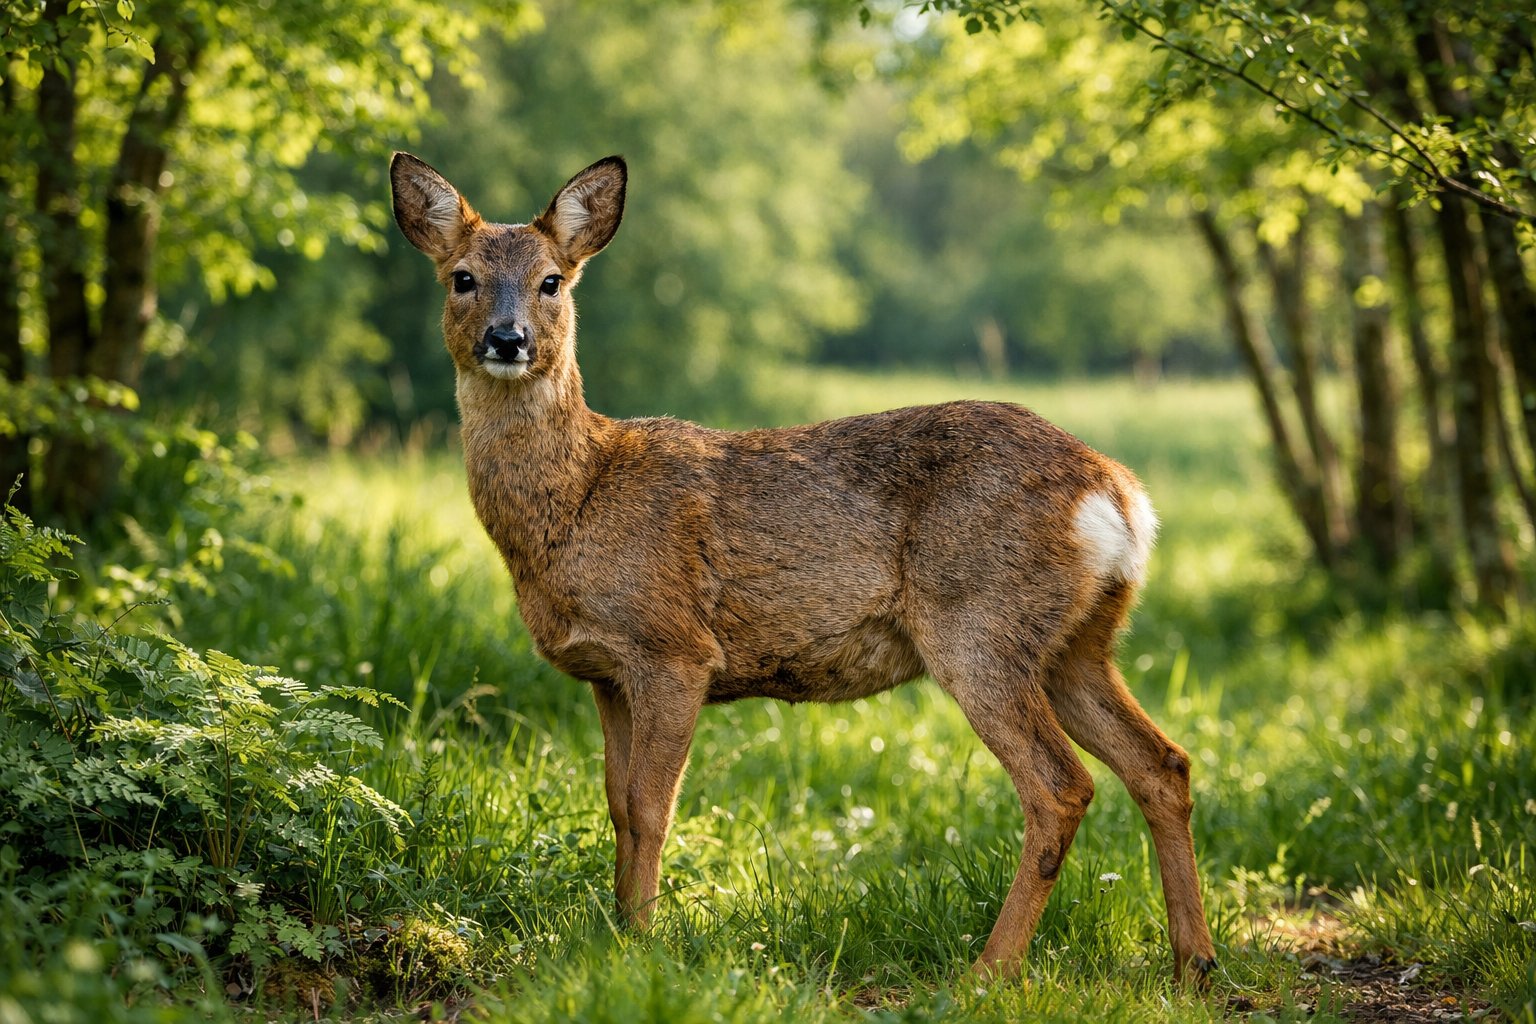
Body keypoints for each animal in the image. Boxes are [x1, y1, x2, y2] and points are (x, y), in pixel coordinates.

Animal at [389, 152, 1219, 985]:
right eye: (461, 277)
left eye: (553, 280)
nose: (508, 338)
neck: (577, 502)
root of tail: (1117, 493)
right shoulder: (607, 673)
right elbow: (618, 807)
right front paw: (618, 930)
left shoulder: (673, 648)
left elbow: (653, 806)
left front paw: (643, 943)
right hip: (1078, 643)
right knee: (1162, 764)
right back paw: (1194, 964)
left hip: (980, 622)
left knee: (1060, 786)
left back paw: (989, 970)